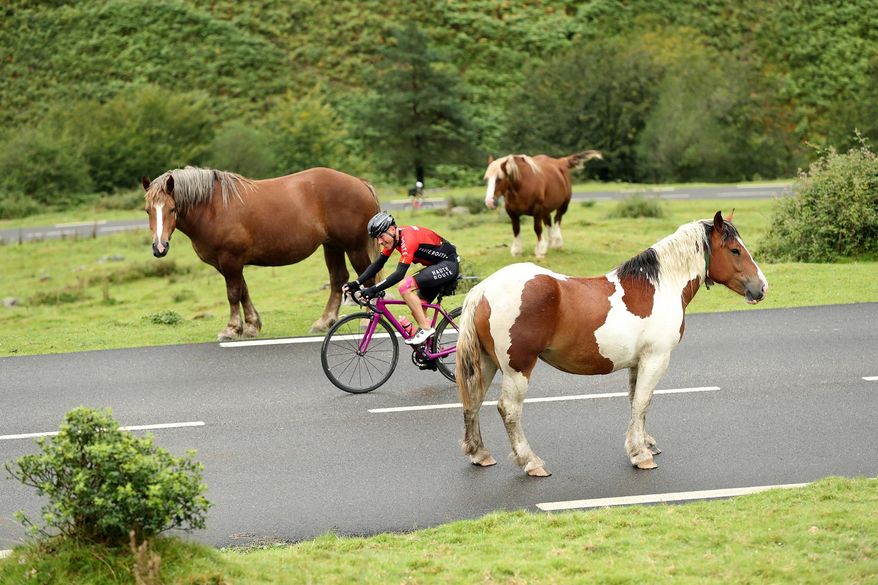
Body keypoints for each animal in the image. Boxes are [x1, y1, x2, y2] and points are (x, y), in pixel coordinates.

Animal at [142, 166, 380, 340]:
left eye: (172, 208)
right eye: (148, 210)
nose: (159, 247)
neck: (213, 208)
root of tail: (360, 183)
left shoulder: (230, 260)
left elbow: (233, 294)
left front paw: (232, 329)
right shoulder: (229, 263)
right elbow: (243, 291)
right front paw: (251, 326)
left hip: (354, 247)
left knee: (367, 279)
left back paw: (365, 321)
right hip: (332, 246)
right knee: (338, 278)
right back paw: (324, 322)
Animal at [455, 211, 768, 476]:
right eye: (735, 250)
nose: (761, 287)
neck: (658, 287)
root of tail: (483, 289)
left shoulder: (638, 363)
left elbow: (636, 402)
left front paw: (645, 443)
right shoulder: (656, 358)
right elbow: (643, 400)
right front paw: (640, 455)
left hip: (487, 363)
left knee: (474, 400)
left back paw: (480, 453)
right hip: (517, 368)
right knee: (508, 409)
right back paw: (530, 462)